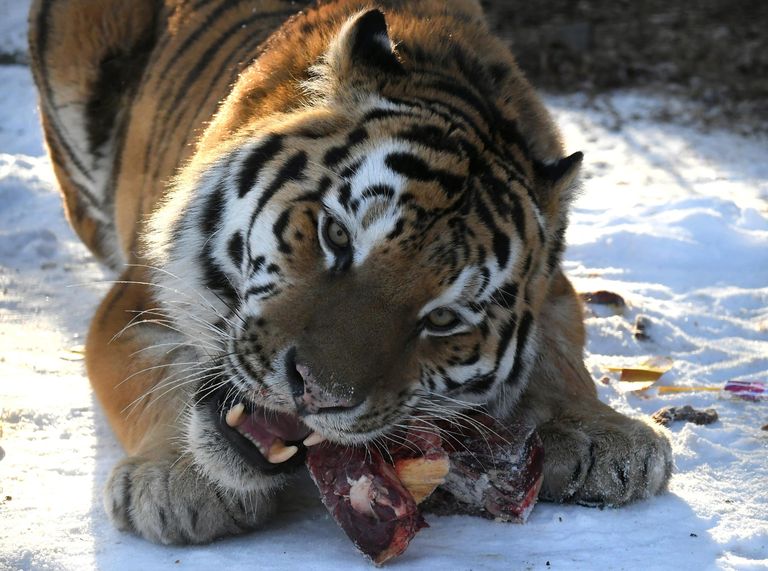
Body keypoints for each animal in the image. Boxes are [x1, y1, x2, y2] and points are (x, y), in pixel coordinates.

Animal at [28, 0, 673, 546]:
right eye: (336, 236)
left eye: (443, 318)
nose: (314, 391)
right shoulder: (135, 296)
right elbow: (154, 376)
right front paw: (178, 480)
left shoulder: (554, 286)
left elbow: (560, 351)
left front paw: (604, 438)